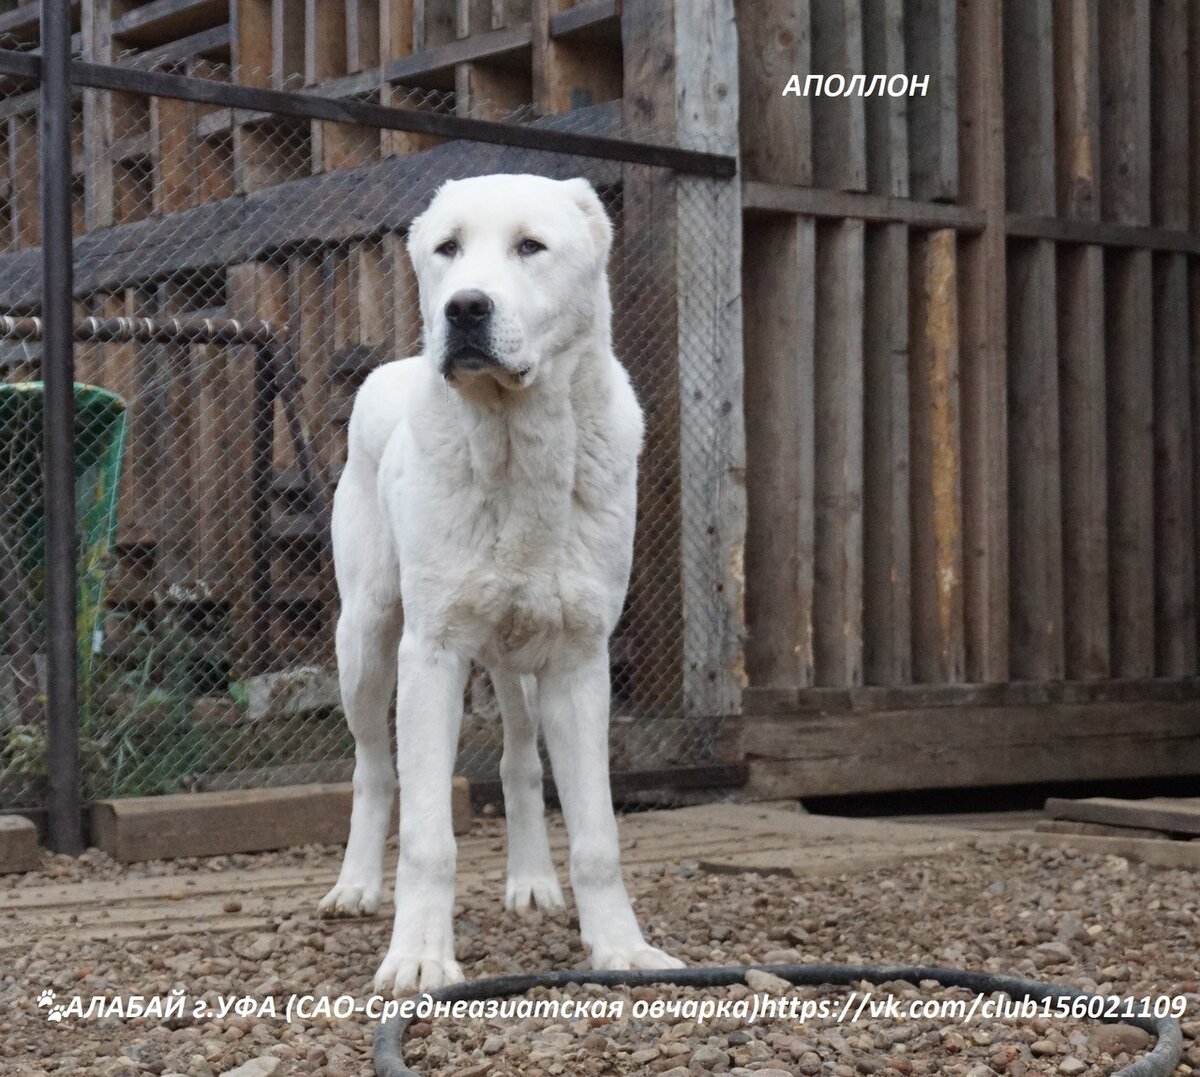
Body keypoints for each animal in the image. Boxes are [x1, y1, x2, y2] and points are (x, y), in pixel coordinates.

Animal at [319, 173, 681, 988]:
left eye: (530, 246)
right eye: (447, 248)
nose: (463, 308)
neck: (519, 448)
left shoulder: (579, 662)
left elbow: (598, 835)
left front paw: (620, 948)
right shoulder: (432, 655)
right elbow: (429, 837)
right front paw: (420, 958)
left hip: (520, 668)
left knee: (518, 763)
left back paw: (532, 881)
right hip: (365, 643)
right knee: (373, 769)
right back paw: (356, 887)